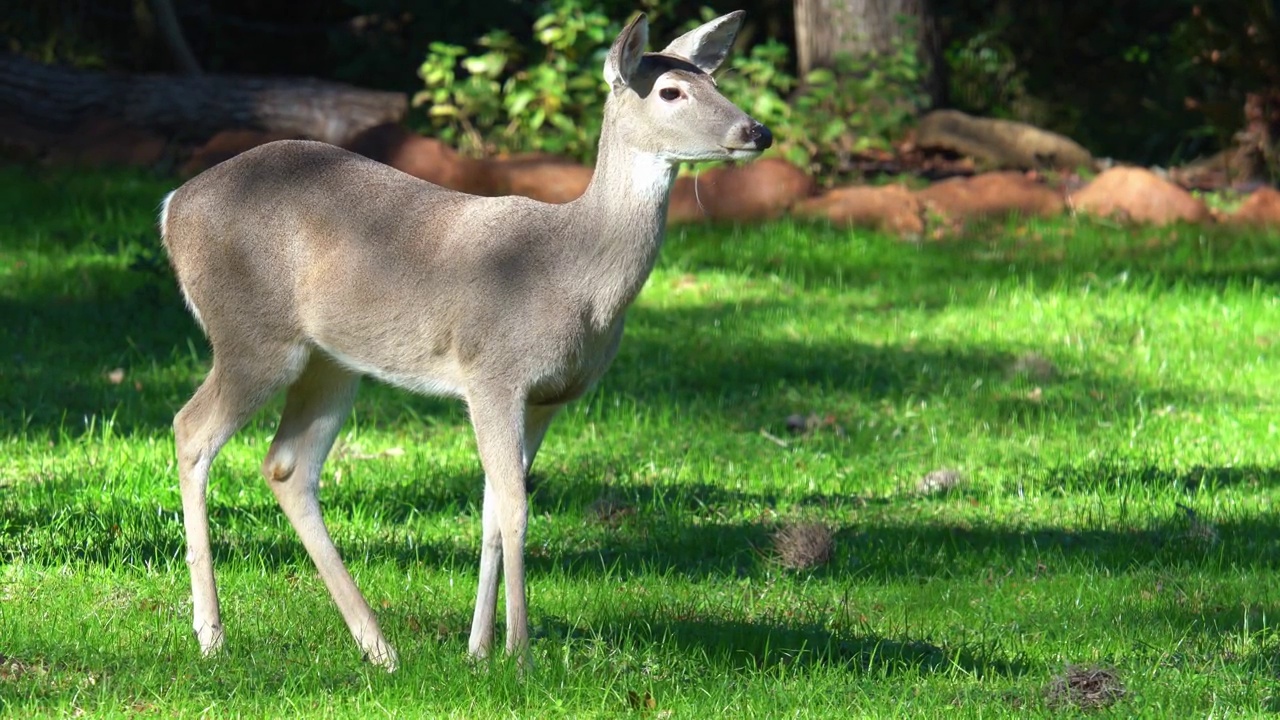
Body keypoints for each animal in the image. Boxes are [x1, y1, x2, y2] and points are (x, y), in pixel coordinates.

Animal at [165, 9, 773, 666]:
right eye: (670, 91)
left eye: (715, 81)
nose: (757, 130)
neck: (574, 274)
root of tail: (172, 207)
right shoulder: (492, 372)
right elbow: (515, 508)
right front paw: (520, 655)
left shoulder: (548, 397)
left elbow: (490, 512)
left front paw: (479, 651)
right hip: (253, 335)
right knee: (191, 430)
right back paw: (212, 635)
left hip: (331, 361)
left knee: (287, 466)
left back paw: (378, 647)